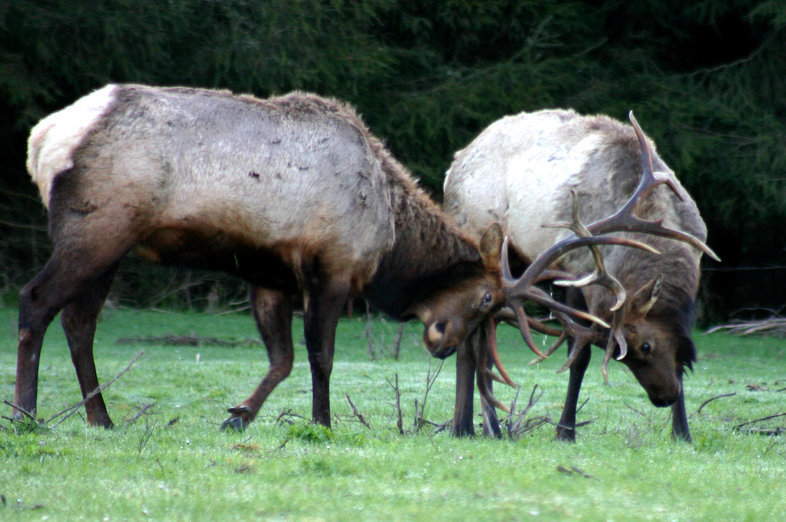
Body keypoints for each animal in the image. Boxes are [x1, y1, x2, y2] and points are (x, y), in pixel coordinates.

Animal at [13, 83, 508, 428]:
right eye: (485, 298)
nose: (445, 345)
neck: (387, 243)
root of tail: (41, 138)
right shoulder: (330, 267)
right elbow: (320, 356)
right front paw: (322, 423)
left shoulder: (270, 276)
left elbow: (281, 360)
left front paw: (239, 415)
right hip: (96, 229)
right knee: (35, 300)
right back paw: (25, 415)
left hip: (110, 246)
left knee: (79, 323)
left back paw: (102, 418)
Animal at [440, 108, 716, 438]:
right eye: (642, 347)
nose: (665, 397)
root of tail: (455, 164)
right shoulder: (573, 273)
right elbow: (578, 356)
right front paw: (565, 431)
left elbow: (682, 353)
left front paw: (682, 433)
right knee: (470, 341)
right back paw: (469, 426)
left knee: (484, 335)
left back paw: (477, 426)